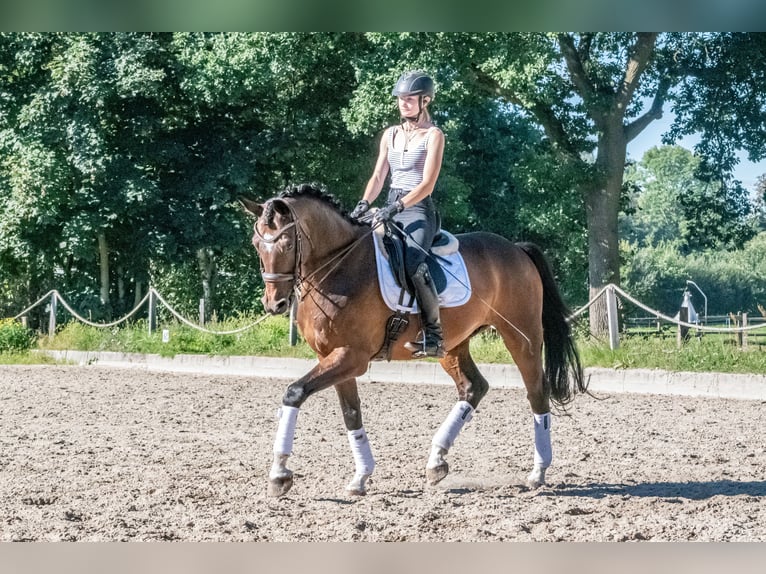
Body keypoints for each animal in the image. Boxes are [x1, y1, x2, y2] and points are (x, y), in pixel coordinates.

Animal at [242, 186, 588, 500]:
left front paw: (279, 474)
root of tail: (516, 249)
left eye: (287, 243)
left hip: (521, 337)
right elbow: (351, 414)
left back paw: (538, 472)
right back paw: (437, 461)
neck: (339, 267)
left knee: (536, 392)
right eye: (257, 244)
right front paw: (360, 477)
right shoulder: (332, 356)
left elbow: (294, 392)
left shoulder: (352, 357)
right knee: (473, 387)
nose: (274, 304)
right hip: (452, 345)